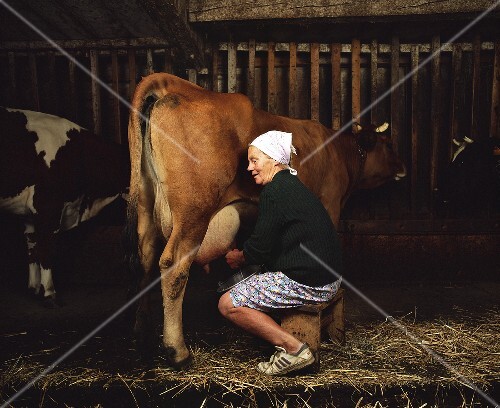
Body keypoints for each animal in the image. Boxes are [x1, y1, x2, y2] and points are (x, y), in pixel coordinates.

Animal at [0, 107, 129, 304]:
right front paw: (49, 293)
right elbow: (46, 249)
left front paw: (33, 288)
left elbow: (32, 248)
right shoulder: (48, 207)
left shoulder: (30, 215)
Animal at [126, 73, 406, 370]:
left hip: (145, 204)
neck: (338, 151)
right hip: (193, 211)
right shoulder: (330, 205)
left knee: (145, 261)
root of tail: (176, 86)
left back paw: (141, 334)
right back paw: (178, 351)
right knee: (173, 266)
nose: (403, 167)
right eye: (389, 144)